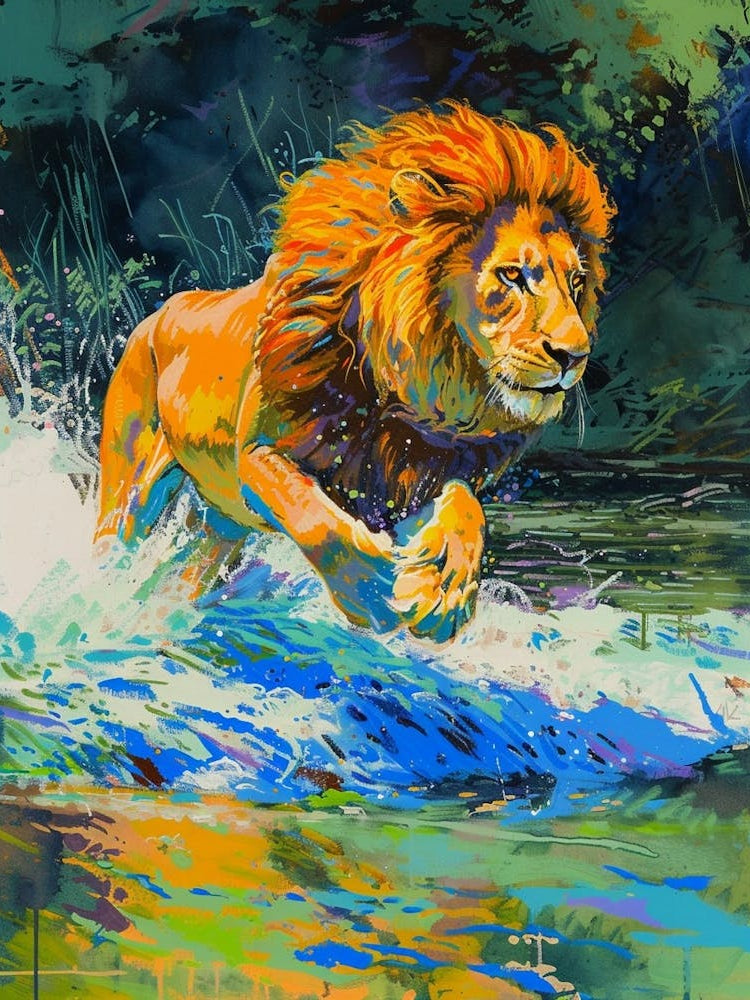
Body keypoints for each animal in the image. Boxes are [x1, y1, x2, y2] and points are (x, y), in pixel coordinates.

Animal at [96, 101, 614, 641]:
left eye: (577, 282)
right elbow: (316, 519)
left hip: (221, 523)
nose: (574, 355)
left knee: (188, 577)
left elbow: (466, 509)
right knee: (114, 546)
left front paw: (445, 590)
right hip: (128, 487)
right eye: (512, 274)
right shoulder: (256, 453)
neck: (401, 385)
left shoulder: (413, 469)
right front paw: (374, 594)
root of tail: (157, 313)